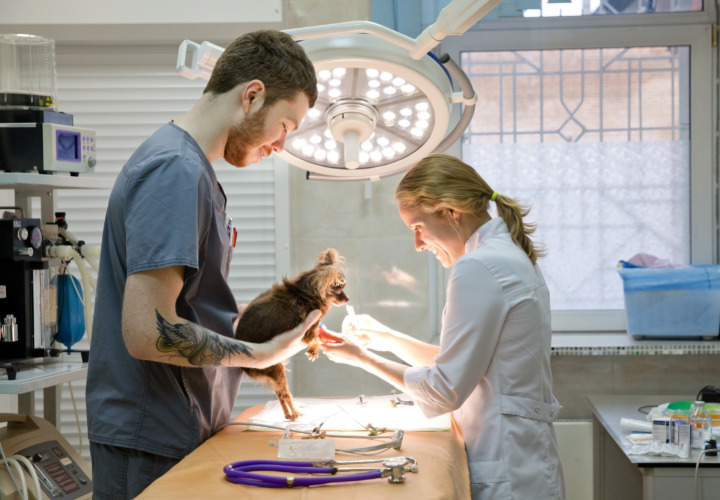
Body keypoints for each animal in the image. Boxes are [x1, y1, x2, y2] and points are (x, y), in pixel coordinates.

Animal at [236, 248, 348, 420]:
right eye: (340, 288)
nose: (347, 299)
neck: (305, 293)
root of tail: (245, 367)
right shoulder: (308, 327)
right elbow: (314, 338)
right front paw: (313, 351)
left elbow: (318, 335)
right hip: (276, 369)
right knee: (284, 394)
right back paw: (294, 413)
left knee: (280, 394)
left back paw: (290, 415)